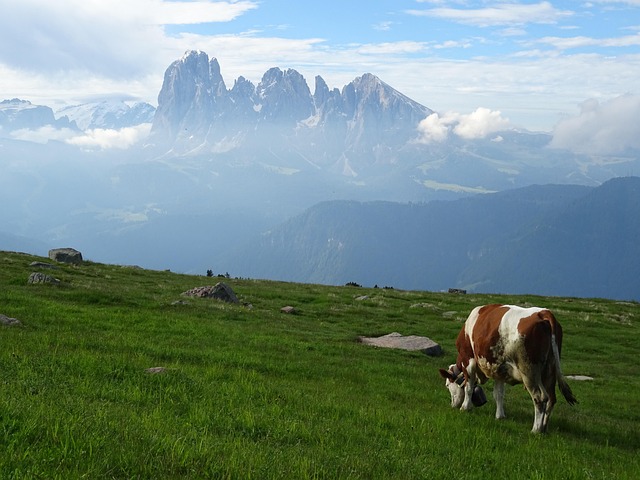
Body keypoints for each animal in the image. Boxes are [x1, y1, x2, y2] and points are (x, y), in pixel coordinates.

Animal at [439, 304, 577, 433]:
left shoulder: (469, 360)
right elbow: (498, 394)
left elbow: (469, 386)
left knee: (540, 397)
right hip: (549, 371)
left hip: (529, 371)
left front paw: (465, 407)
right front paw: (500, 416)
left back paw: (536, 429)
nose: (452, 405)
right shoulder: (498, 370)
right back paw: (544, 428)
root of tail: (543, 313)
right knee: (551, 399)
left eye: (447, 385)